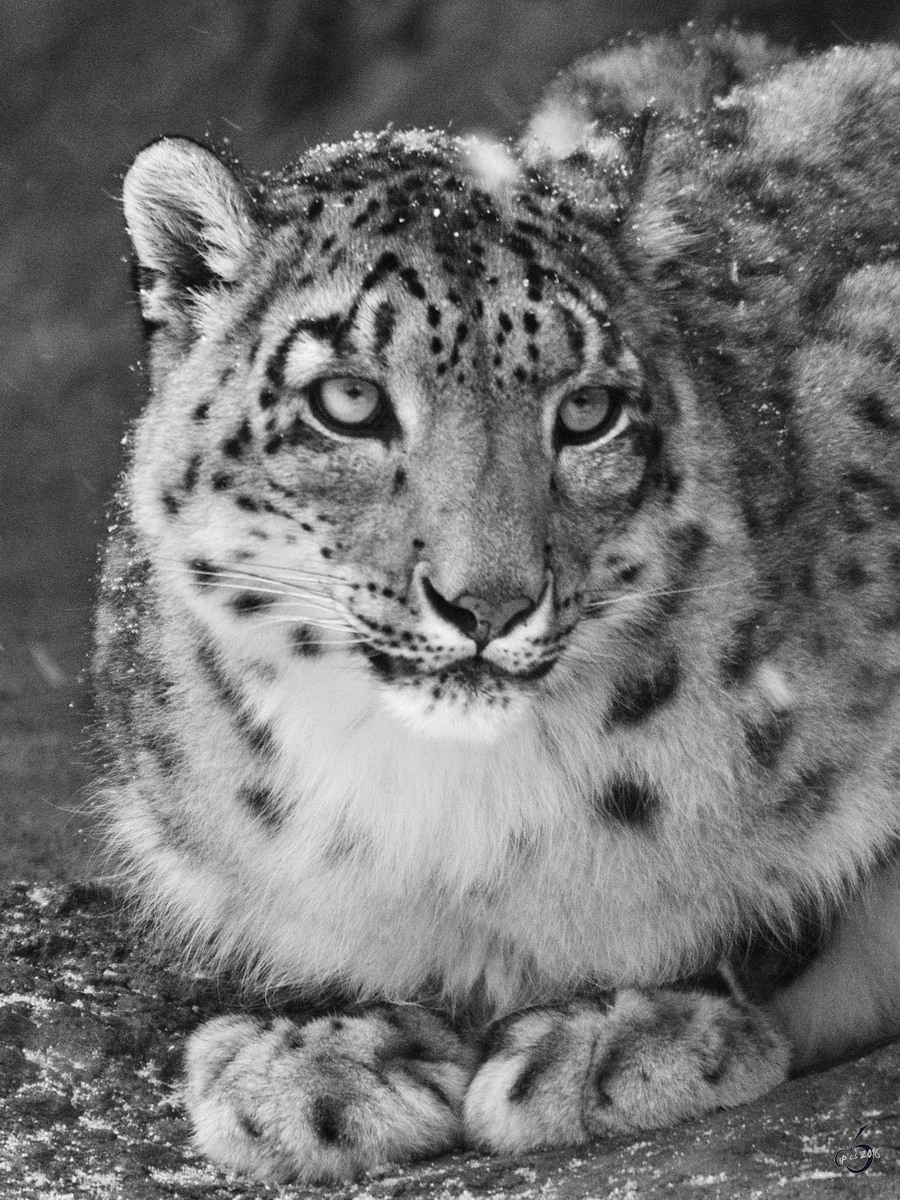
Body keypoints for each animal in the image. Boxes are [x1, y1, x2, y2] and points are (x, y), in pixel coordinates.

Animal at [93, 25, 900, 1180]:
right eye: (348, 400)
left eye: (590, 410)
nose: (487, 603)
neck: (446, 808)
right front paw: (317, 1059)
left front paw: (624, 1029)